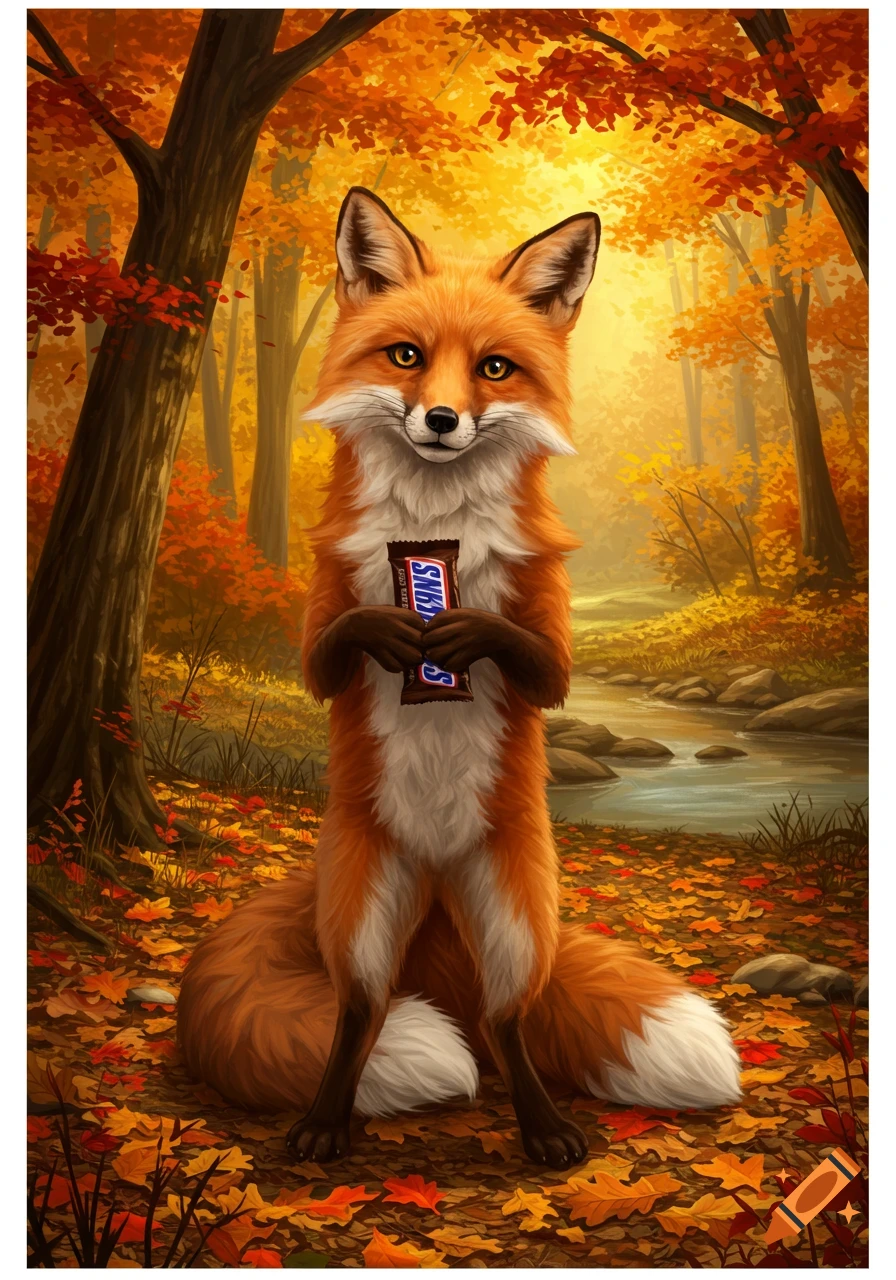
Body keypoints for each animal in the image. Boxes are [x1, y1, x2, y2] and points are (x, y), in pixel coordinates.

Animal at [177, 187, 742, 1170]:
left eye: (494, 369)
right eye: (407, 355)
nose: (441, 420)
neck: (430, 525)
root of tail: (438, 882)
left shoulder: (549, 629)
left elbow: (536, 662)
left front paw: (468, 628)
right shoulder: (323, 614)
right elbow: (334, 649)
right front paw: (394, 627)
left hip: (514, 919)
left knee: (504, 1021)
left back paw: (544, 1128)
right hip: (365, 916)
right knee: (362, 1013)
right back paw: (324, 1123)